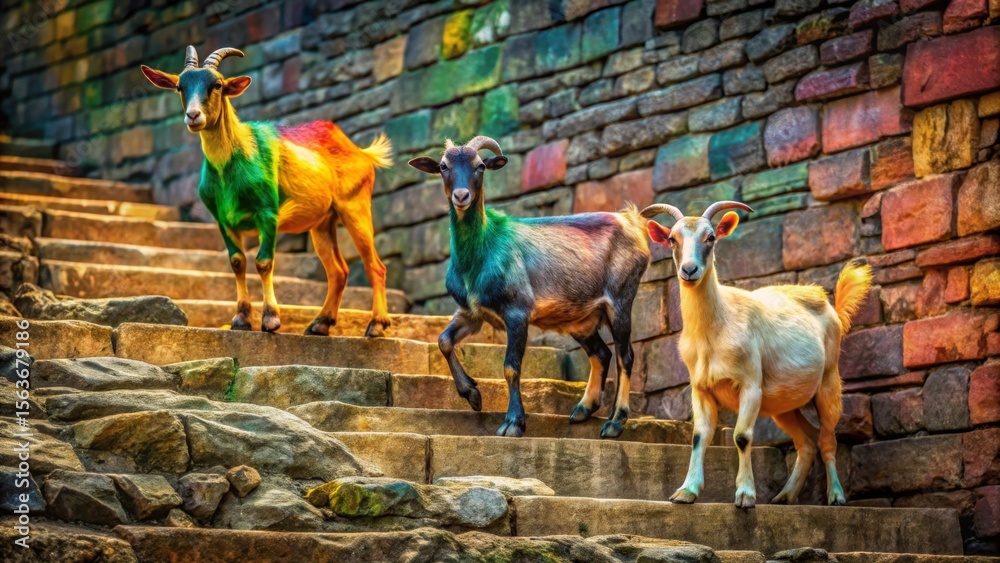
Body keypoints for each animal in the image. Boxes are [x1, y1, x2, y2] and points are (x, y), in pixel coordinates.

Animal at [141, 46, 393, 337]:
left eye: (217, 85)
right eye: (180, 86)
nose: (193, 116)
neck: (231, 166)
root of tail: (362, 152)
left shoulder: (268, 213)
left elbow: (264, 262)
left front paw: (271, 320)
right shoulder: (223, 221)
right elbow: (237, 261)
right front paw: (240, 319)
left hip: (355, 206)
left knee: (375, 265)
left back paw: (376, 325)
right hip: (323, 222)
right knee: (338, 270)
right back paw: (319, 324)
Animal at [409, 136, 657, 438]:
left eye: (480, 166)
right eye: (443, 166)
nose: (461, 196)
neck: (481, 252)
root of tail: (633, 222)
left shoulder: (517, 311)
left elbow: (511, 367)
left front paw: (513, 423)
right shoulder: (472, 312)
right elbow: (443, 341)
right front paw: (473, 394)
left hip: (621, 298)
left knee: (625, 356)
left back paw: (615, 422)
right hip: (581, 319)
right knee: (601, 353)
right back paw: (582, 410)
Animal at [644, 201, 872, 508]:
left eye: (710, 237)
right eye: (672, 239)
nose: (689, 270)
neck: (714, 332)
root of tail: (828, 304)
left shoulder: (750, 384)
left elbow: (742, 436)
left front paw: (745, 496)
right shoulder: (701, 389)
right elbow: (699, 437)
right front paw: (685, 492)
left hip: (828, 383)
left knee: (827, 439)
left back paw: (835, 496)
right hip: (784, 406)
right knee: (806, 442)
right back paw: (784, 496)